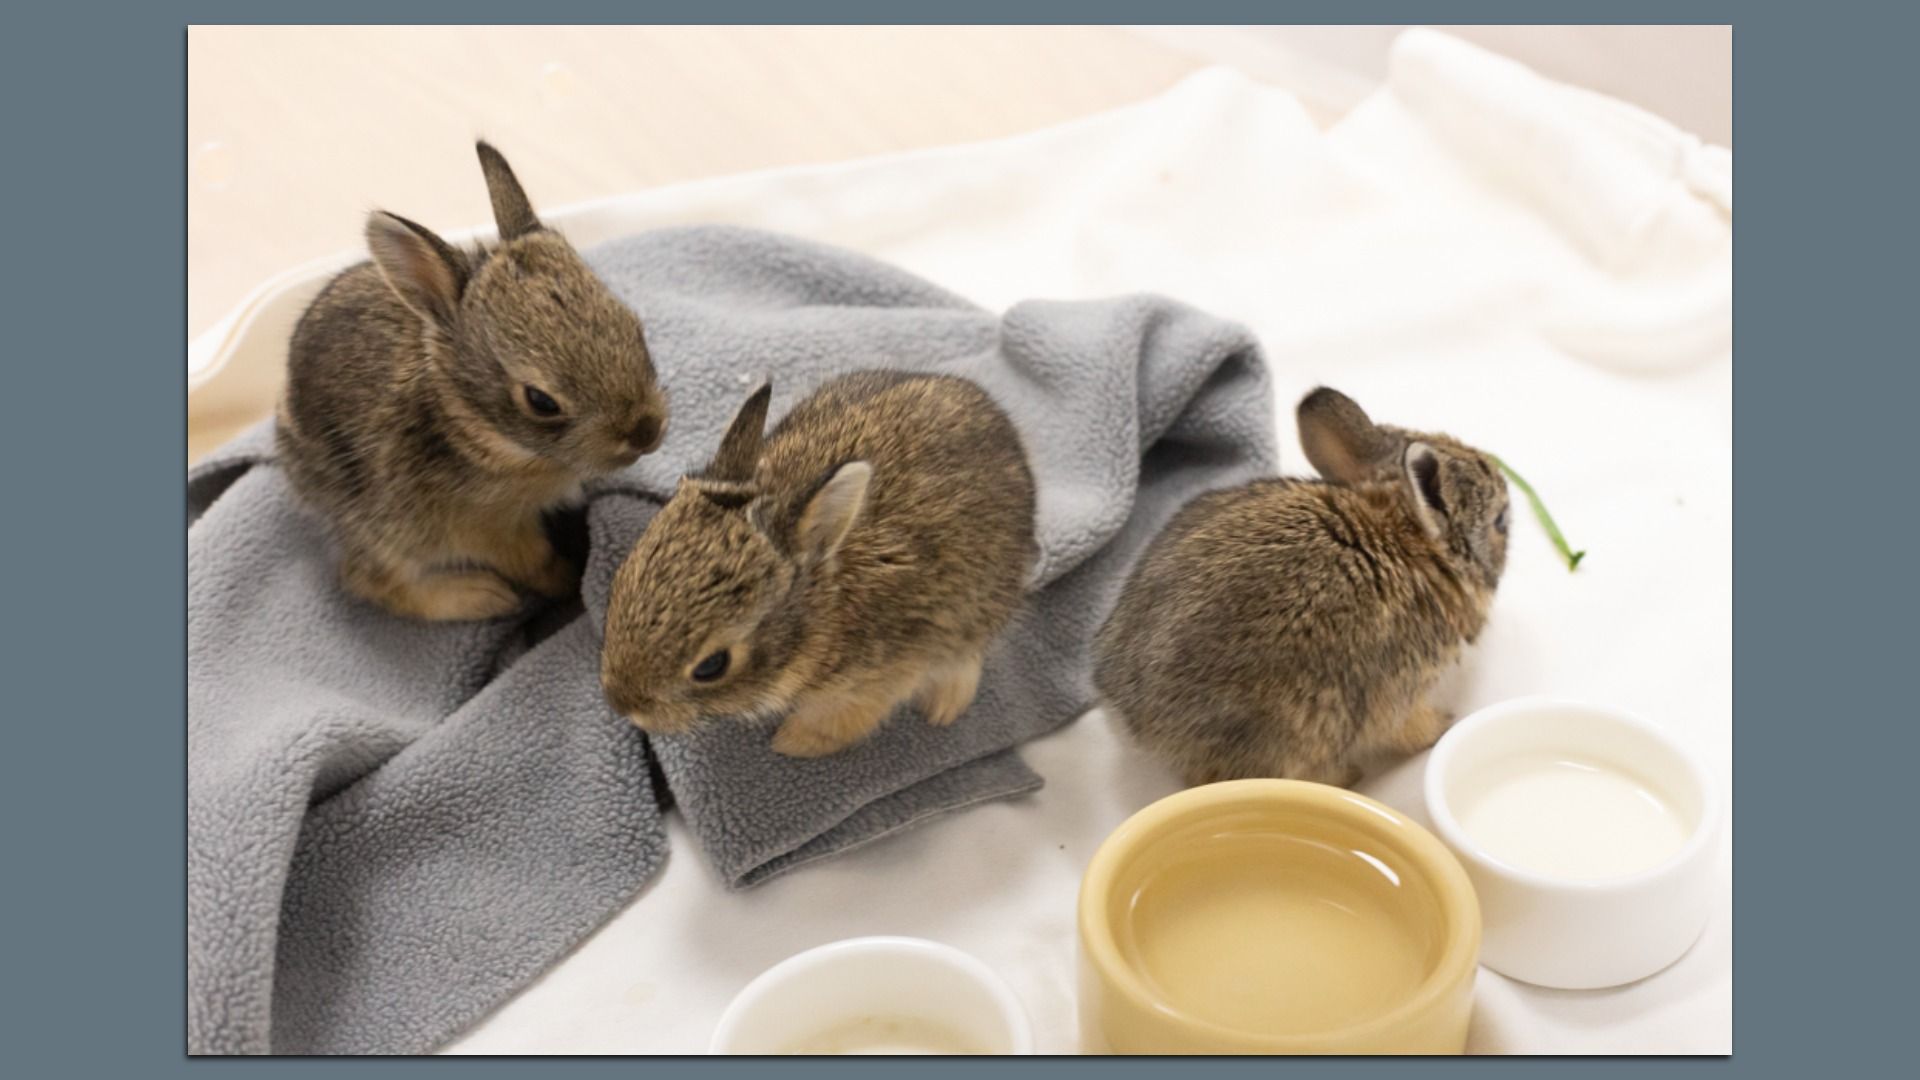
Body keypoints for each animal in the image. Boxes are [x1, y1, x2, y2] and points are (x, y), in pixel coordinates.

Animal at [277, 141, 668, 621]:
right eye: (540, 401)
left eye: (634, 328)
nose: (646, 431)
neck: (479, 429)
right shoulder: (487, 528)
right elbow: (533, 562)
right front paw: (566, 584)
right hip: (382, 530)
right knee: (368, 581)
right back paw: (479, 596)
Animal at [599, 371, 1037, 758]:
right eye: (622, 577)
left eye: (711, 666)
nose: (623, 704)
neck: (821, 609)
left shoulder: (877, 680)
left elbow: (840, 722)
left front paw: (792, 744)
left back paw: (944, 706)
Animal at [1092, 387, 1511, 788]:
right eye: (1500, 521)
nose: (1509, 492)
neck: (1401, 541)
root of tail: (1132, 723)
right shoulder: (1400, 694)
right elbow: (1409, 728)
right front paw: (1443, 724)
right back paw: (1345, 775)